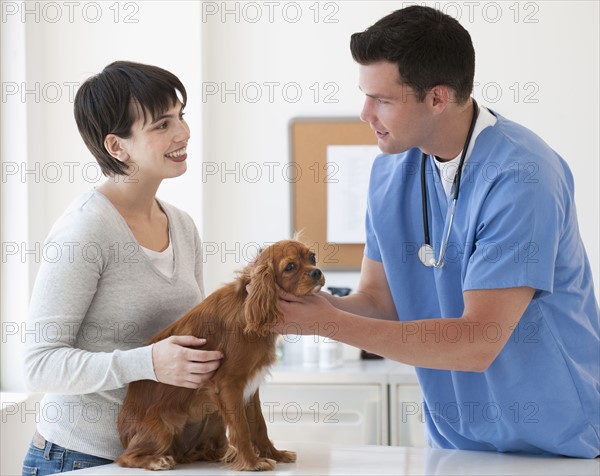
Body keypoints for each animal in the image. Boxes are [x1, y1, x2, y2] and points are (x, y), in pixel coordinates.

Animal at [116, 240, 324, 470]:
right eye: (290, 267)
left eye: (312, 257)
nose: (317, 272)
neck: (247, 304)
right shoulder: (228, 385)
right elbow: (242, 428)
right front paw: (252, 462)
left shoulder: (249, 389)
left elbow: (259, 425)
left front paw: (275, 454)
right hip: (163, 428)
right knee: (125, 457)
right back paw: (156, 460)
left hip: (213, 417)